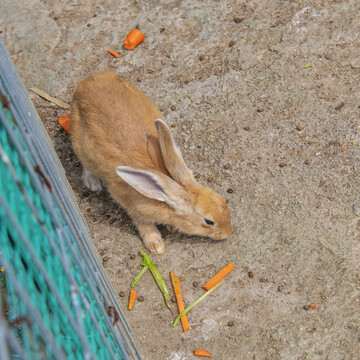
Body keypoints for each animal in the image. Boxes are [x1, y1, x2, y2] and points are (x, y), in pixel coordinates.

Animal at [71, 71, 233, 253]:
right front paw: (157, 246)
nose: (228, 232)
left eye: (222, 200)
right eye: (209, 221)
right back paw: (93, 183)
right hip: (80, 144)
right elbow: (143, 223)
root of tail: (87, 82)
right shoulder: (130, 203)